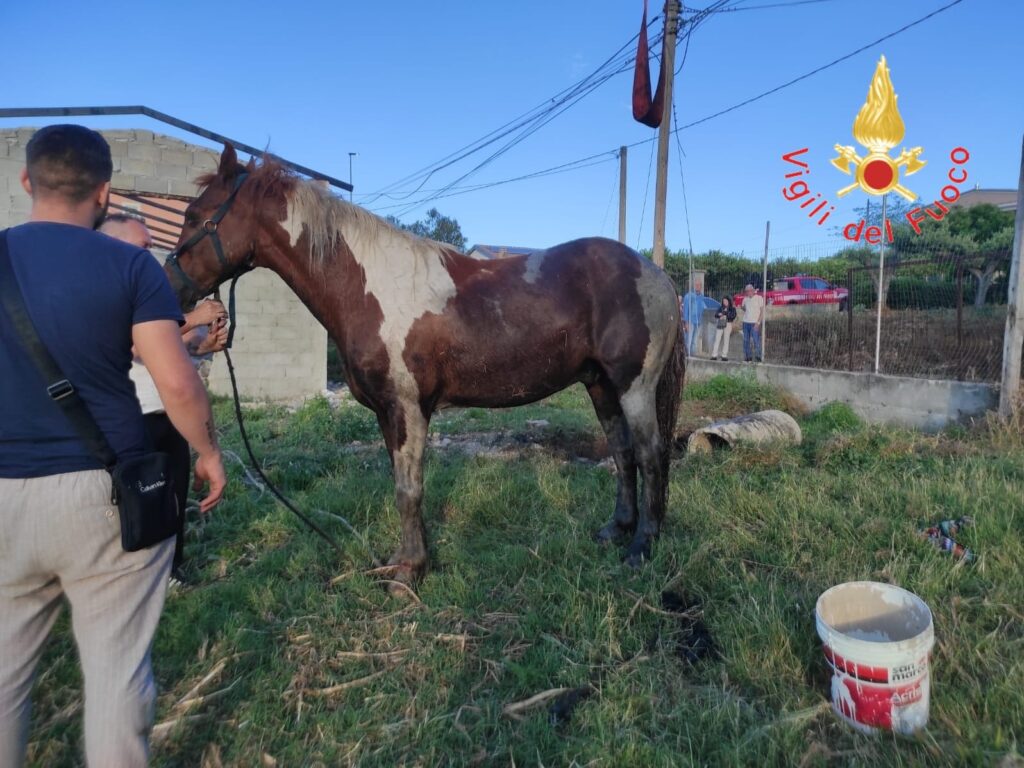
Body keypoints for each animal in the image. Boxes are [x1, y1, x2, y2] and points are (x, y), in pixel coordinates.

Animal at [169, 145, 688, 581]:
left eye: (194, 215)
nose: (173, 288)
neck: (369, 288)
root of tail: (658, 276)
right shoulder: (386, 412)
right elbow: (402, 485)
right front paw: (404, 560)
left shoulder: (407, 408)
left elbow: (409, 490)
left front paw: (410, 573)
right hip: (600, 386)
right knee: (622, 454)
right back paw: (616, 530)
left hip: (634, 387)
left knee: (650, 455)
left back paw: (642, 546)